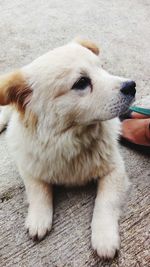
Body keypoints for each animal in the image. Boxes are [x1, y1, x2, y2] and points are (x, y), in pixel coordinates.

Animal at [0, 39, 136, 260]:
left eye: (102, 68)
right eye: (81, 83)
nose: (132, 85)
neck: (72, 140)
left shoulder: (115, 170)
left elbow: (104, 203)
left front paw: (104, 238)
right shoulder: (29, 165)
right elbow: (38, 190)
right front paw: (39, 218)